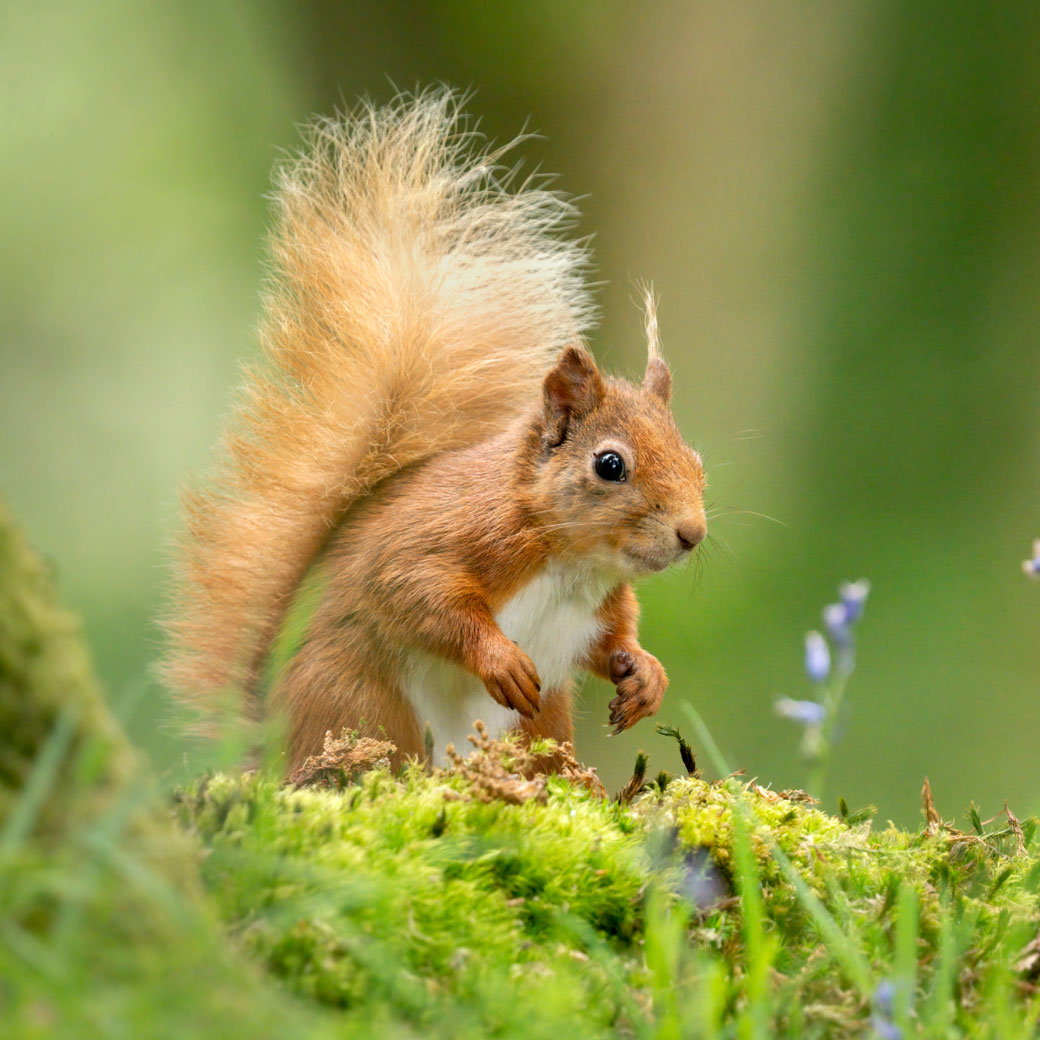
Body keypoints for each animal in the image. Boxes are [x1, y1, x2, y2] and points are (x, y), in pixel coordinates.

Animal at [166, 91, 707, 773]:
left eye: (698, 460)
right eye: (610, 465)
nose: (692, 534)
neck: (573, 565)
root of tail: (273, 755)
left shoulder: (596, 615)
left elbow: (613, 641)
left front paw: (646, 676)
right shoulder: (449, 534)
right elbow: (416, 592)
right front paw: (499, 659)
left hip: (538, 721)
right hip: (360, 700)